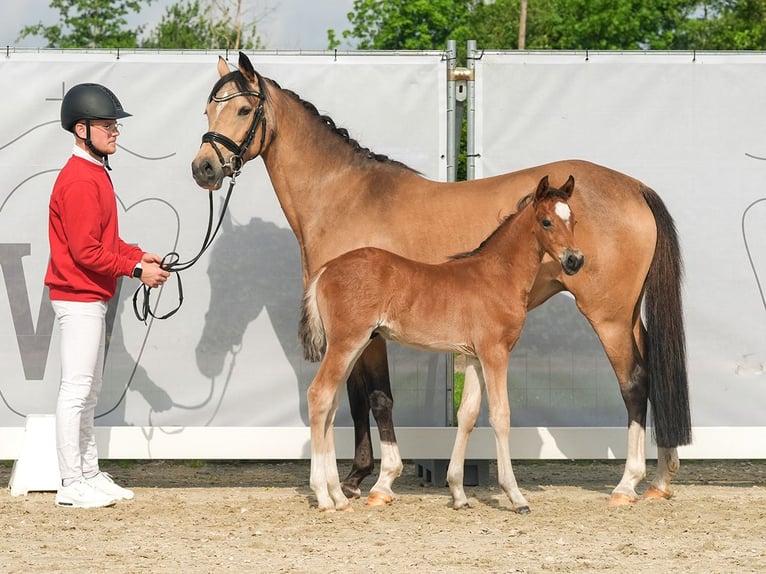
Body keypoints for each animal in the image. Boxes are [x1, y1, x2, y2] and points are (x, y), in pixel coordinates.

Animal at [304, 177, 584, 512]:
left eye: (574, 220)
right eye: (546, 221)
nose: (575, 260)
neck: (498, 276)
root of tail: (324, 271)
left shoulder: (475, 358)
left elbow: (468, 416)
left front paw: (459, 493)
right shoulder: (495, 353)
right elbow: (500, 416)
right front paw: (516, 496)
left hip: (354, 346)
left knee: (331, 403)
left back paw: (338, 495)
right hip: (346, 343)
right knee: (319, 394)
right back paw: (323, 496)